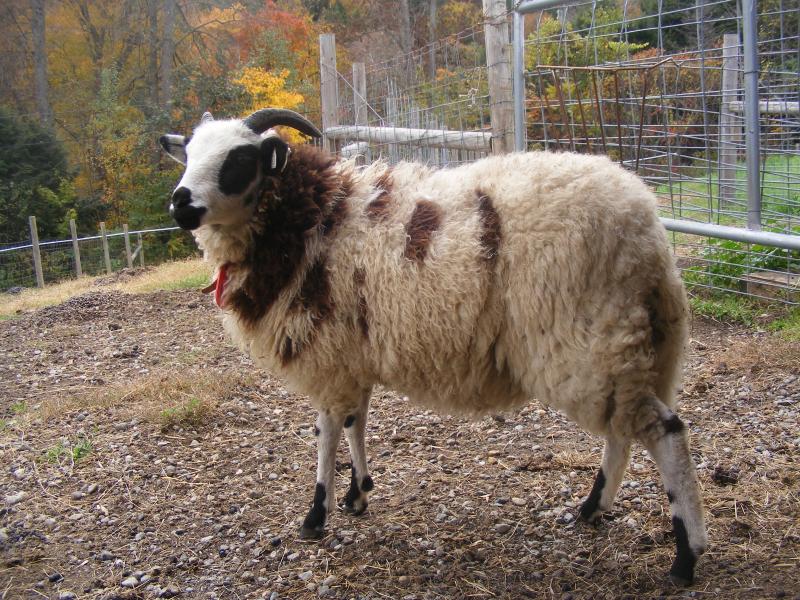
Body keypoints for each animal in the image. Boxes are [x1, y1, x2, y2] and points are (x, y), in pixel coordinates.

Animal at [159, 108, 707, 585]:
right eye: (187, 153)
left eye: (239, 160)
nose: (180, 203)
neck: (313, 215)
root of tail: (644, 222)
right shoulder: (353, 354)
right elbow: (357, 422)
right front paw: (358, 494)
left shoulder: (330, 357)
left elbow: (327, 433)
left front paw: (317, 515)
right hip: (626, 343)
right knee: (623, 431)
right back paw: (593, 509)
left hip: (584, 339)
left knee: (663, 433)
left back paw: (686, 557)